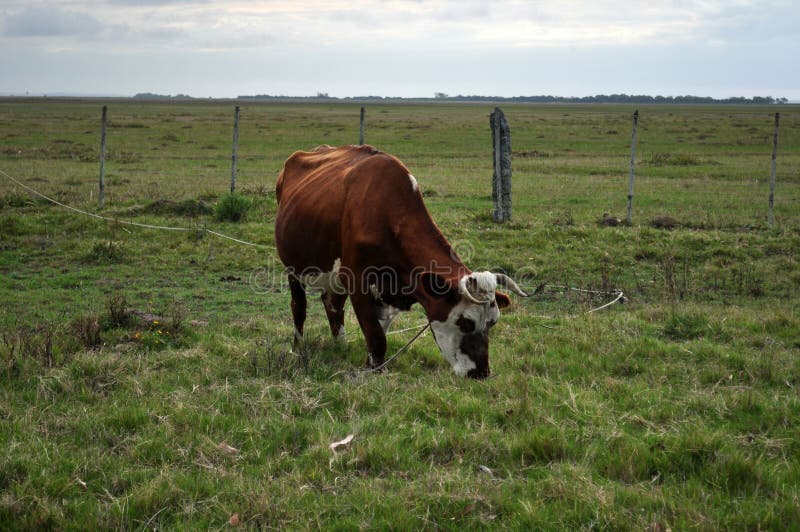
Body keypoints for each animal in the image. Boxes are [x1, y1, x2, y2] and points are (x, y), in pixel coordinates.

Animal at [272, 145, 528, 378]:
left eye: (493, 322)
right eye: (465, 322)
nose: (481, 373)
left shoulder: (386, 291)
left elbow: (379, 333)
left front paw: (372, 364)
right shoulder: (357, 280)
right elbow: (376, 337)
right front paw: (372, 372)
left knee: (332, 304)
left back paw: (340, 345)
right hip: (293, 268)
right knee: (299, 306)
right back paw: (297, 347)